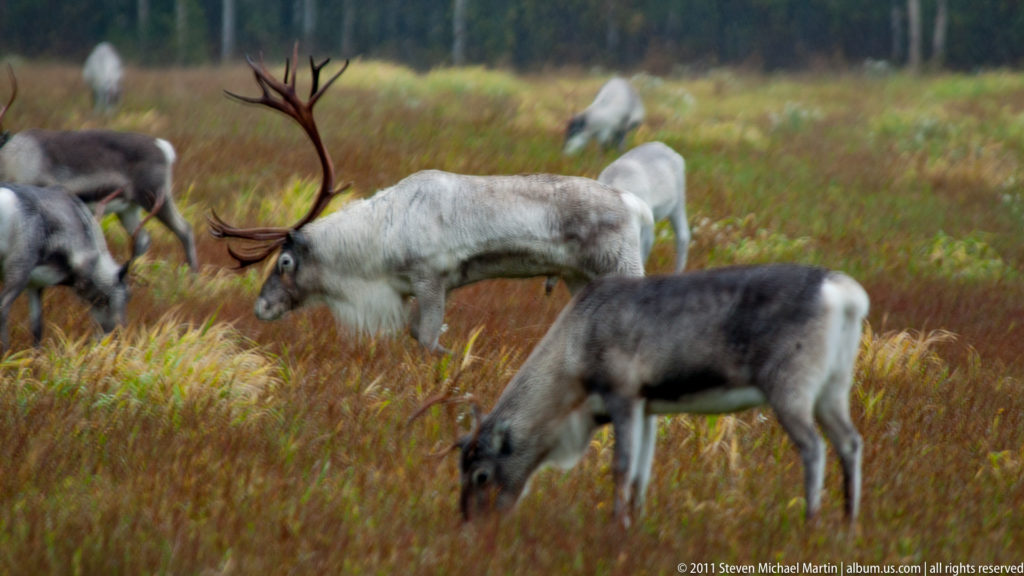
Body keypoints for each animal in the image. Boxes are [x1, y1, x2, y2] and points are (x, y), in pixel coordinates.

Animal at [0, 67, 198, 271]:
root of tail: (165, 148)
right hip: (128, 207)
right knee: (143, 238)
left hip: (155, 197)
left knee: (185, 230)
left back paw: (192, 272)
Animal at [0, 184, 159, 352]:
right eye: (128, 295)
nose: (117, 336)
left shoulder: (35, 285)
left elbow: (37, 328)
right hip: (18, 268)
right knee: (3, 308)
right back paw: (6, 351)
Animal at [208, 48, 651, 353]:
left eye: (284, 262)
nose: (261, 308)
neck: (376, 242)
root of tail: (635, 204)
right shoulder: (422, 287)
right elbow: (416, 333)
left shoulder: (431, 278)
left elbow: (427, 340)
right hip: (580, 277)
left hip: (623, 265)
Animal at [443, 264, 869, 528]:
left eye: (481, 475)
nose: (471, 525)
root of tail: (848, 296)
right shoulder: (648, 407)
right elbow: (641, 472)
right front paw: (636, 522)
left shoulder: (623, 396)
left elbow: (621, 467)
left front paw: (617, 525)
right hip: (833, 389)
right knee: (849, 442)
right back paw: (848, 523)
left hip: (791, 389)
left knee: (814, 447)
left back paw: (812, 522)